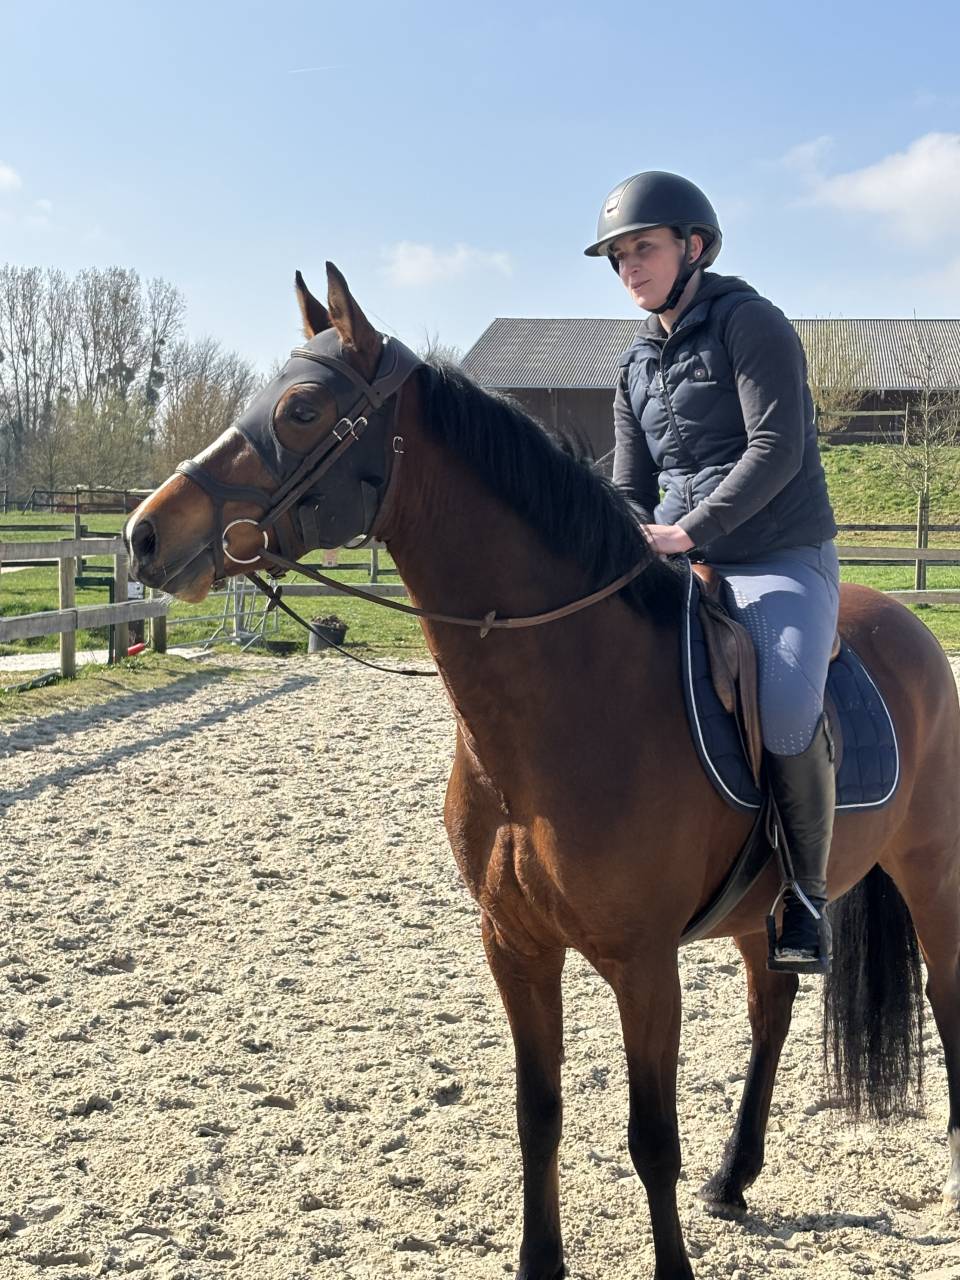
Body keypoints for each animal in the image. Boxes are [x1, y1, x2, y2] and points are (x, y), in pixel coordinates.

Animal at [124, 263, 960, 1280]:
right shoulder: (514, 946)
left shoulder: (643, 964)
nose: (145, 536)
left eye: (302, 409)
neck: (567, 703)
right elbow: (538, 1116)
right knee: (773, 1007)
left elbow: (650, 1138)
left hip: (932, 871)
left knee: (946, 1001)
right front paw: (539, 1260)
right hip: (768, 914)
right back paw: (734, 1178)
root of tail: (909, 626)